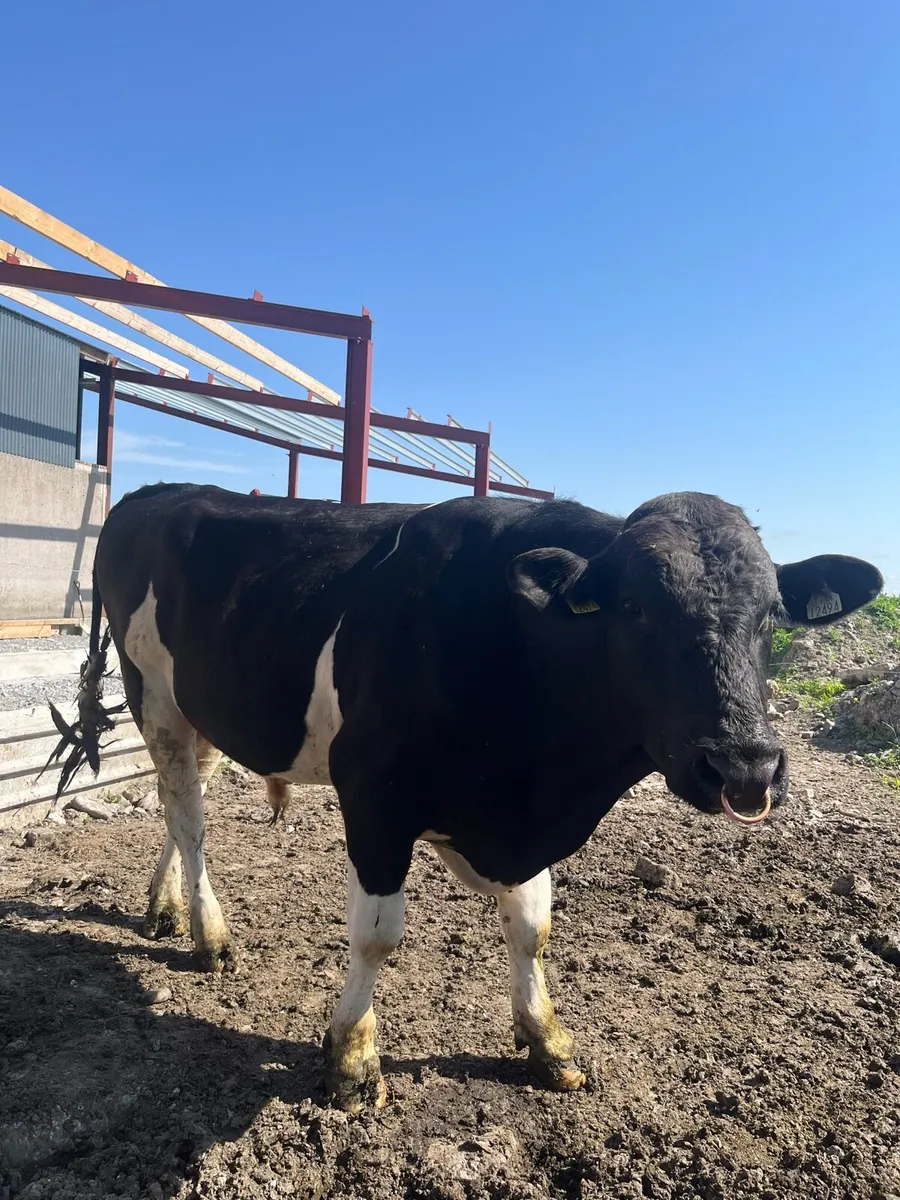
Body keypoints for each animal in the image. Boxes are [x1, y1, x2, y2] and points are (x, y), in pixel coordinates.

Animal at [56, 483, 881, 1111]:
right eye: (637, 608)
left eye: (772, 613)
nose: (745, 765)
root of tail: (157, 492)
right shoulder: (377, 798)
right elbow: (377, 936)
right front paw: (352, 1059)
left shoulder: (507, 822)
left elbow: (532, 925)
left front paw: (548, 1041)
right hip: (154, 693)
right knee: (189, 816)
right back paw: (210, 934)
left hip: (199, 708)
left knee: (175, 803)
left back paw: (165, 906)